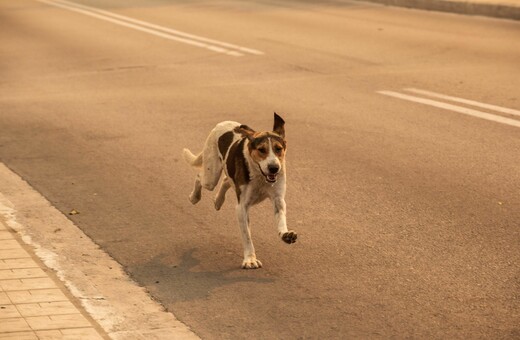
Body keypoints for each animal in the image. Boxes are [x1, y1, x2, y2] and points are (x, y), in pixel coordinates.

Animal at [183, 113, 296, 270]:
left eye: (278, 148)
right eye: (262, 150)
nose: (274, 168)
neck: (260, 175)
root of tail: (221, 123)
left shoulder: (278, 199)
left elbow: (281, 219)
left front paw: (286, 234)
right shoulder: (242, 207)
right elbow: (247, 236)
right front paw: (250, 259)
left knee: (226, 180)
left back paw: (218, 201)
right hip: (211, 176)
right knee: (200, 177)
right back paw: (194, 197)